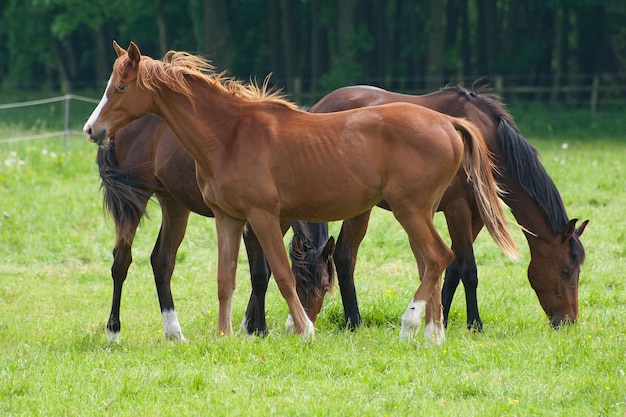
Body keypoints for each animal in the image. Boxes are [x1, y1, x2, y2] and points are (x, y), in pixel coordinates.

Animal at [95, 112, 334, 340]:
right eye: (302, 283)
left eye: (324, 287)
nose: (295, 326)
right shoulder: (254, 224)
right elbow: (260, 274)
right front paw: (258, 330)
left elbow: (266, 272)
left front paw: (251, 327)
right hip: (134, 201)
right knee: (121, 261)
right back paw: (114, 332)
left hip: (174, 204)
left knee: (162, 261)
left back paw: (175, 333)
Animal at [306, 86, 584, 330]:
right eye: (566, 271)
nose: (567, 321)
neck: (487, 140)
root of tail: (319, 106)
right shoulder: (457, 209)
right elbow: (469, 270)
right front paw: (475, 324)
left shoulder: (476, 216)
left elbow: (453, 269)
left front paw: (443, 319)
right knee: (345, 256)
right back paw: (353, 321)